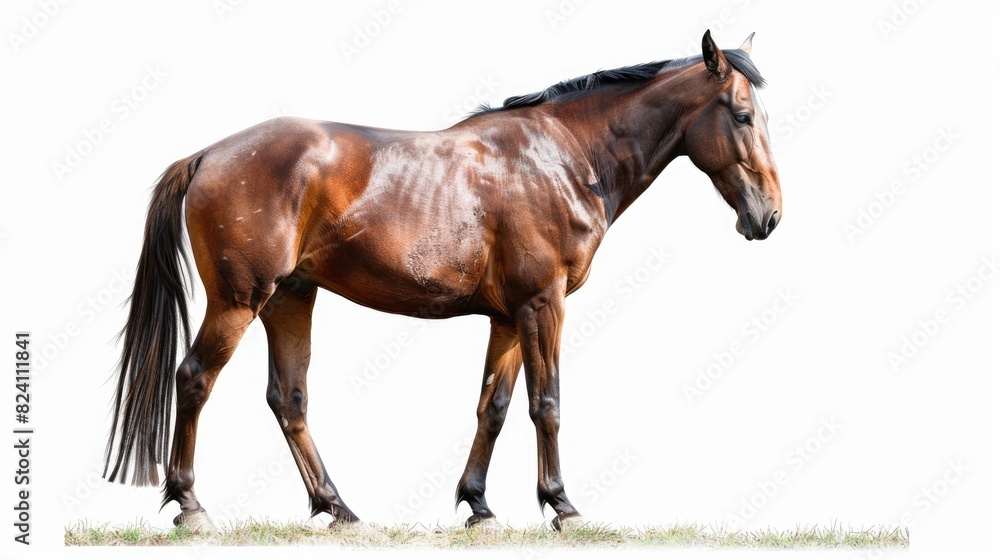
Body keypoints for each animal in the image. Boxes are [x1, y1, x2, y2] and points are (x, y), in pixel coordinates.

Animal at [104, 30, 782, 532]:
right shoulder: (543, 304)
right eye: (743, 115)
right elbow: (547, 404)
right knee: (194, 379)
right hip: (240, 301)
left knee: (287, 399)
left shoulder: (509, 316)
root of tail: (208, 155)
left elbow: (494, 408)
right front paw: (561, 504)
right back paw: (190, 506)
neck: (564, 157)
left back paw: (338, 508)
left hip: (290, 298)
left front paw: (478, 505)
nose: (769, 216)